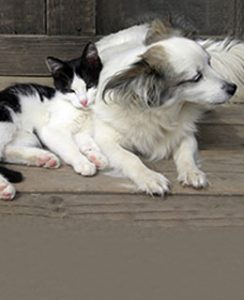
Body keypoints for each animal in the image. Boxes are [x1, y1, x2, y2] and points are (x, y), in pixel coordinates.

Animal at [0, 42, 107, 200]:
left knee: (4, 152)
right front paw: (82, 162)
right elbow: (69, 147)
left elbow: (88, 143)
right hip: (6, 120)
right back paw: (3, 186)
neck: (80, 110)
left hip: (28, 137)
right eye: (70, 90)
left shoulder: (82, 132)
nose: (84, 101)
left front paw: (96, 156)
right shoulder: (51, 130)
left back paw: (43, 158)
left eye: (89, 85)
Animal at [92, 21, 242, 196]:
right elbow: (129, 158)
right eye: (196, 77)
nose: (233, 88)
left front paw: (192, 172)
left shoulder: (185, 133)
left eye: (210, 64)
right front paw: (149, 177)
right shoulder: (106, 138)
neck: (161, 112)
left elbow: (186, 152)